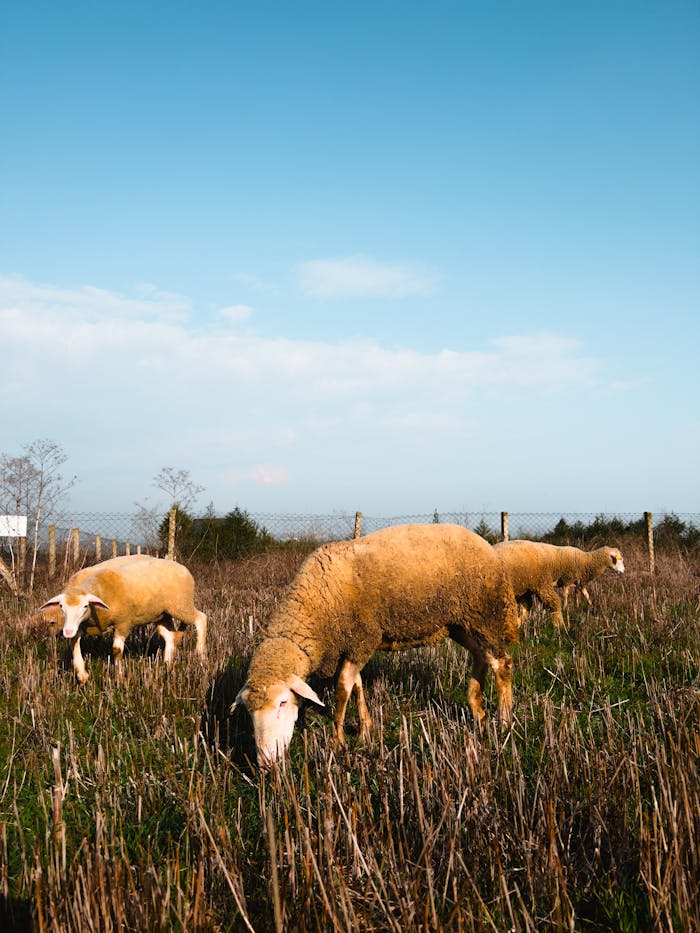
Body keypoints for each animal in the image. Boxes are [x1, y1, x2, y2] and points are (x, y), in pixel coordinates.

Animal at [40, 554, 207, 682]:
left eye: (85, 606)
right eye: (61, 606)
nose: (67, 632)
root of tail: (180, 566)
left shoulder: (124, 622)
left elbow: (116, 650)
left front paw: (119, 677)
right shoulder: (80, 626)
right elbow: (75, 644)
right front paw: (82, 675)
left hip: (181, 604)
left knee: (201, 618)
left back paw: (200, 654)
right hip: (161, 614)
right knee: (170, 636)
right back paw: (167, 664)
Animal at [231, 523, 520, 768]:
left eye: (282, 703)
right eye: (248, 711)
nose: (266, 763)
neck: (317, 605)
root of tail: (487, 546)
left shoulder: (362, 640)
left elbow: (343, 687)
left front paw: (338, 740)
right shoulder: (354, 647)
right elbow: (357, 685)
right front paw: (366, 729)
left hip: (484, 614)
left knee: (502, 663)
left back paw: (504, 721)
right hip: (461, 624)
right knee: (481, 657)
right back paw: (478, 710)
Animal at [494, 540, 625, 627]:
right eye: (618, 560)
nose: (623, 571)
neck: (586, 561)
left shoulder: (579, 583)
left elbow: (585, 596)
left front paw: (590, 608)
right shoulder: (566, 580)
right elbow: (564, 597)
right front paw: (565, 615)